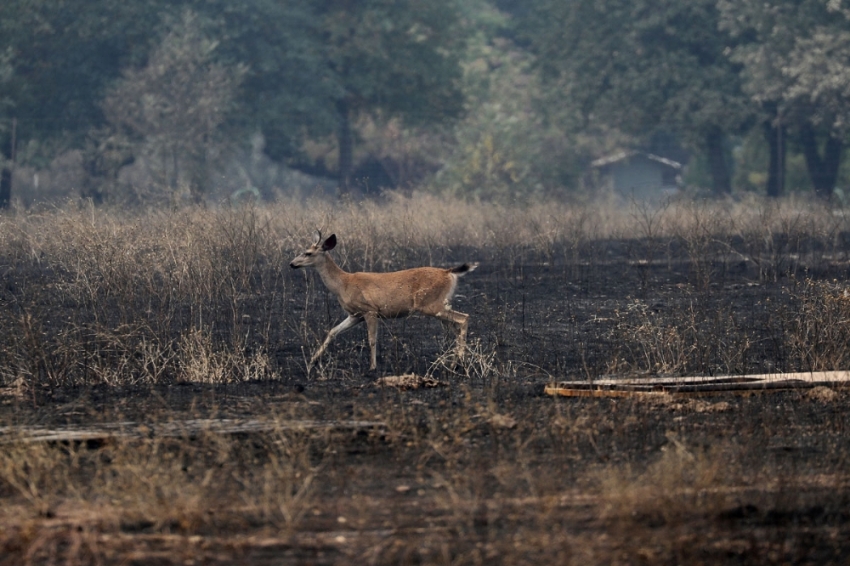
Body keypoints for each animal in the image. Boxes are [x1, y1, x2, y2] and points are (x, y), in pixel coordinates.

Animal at [290, 231, 476, 372]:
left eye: (308, 253)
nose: (292, 264)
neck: (343, 284)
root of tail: (448, 272)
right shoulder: (355, 315)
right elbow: (333, 331)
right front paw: (312, 361)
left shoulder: (370, 310)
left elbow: (372, 339)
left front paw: (372, 366)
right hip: (439, 305)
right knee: (456, 326)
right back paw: (455, 363)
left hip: (431, 305)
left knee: (464, 318)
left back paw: (459, 363)